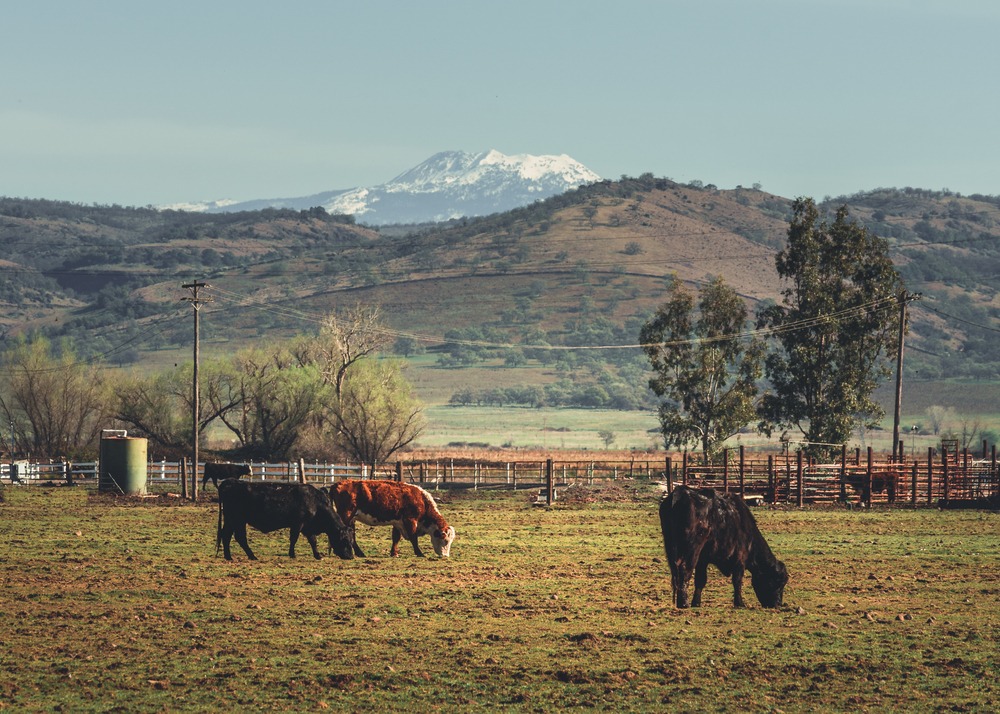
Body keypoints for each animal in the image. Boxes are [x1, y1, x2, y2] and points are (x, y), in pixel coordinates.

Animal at [218, 476, 356, 560]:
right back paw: (252, 556)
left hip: (231, 520)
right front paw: (292, 554)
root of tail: (231, 482)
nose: (350, 556)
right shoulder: (298, 524)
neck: (316, 503)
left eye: (351, 540)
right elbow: (294, 539)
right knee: (240, 537)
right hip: (237, 520)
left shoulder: (307, 527)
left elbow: (313, 541)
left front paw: (317, 555)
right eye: (344, 540)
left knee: (226, 535)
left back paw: (228, 556)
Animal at [326, 478, 456, 556]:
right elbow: (413, 538)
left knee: (351, 535)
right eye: (445, 540)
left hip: (351, 519)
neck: (421, 500)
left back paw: (358, 553)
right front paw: (419, 553)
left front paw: (394, 553)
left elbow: (396, 538)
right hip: (346, 516)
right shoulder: (410, 520)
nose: (445, 556)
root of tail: (337, 484)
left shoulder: (398, 522)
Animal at [656, 484, 788, 608]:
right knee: (684, 568)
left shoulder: (703, 560)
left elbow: (700, 580)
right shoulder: (740, 559)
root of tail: (680, 493)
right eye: (778, 582)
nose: (778, 604)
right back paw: (684, 603)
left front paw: (696, 602)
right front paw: (739, 603)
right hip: (692, 548)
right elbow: (737, 581)